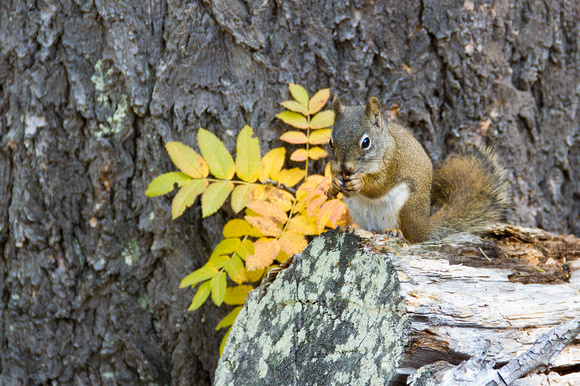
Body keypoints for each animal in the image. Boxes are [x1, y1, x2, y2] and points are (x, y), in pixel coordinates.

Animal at [328, 95, 510, 244]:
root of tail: (424, 227)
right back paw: (353, 228)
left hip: (406, 208)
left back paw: (396, 232)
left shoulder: (393, 164)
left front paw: (359, 182)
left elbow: (379, 187)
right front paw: (334, 183)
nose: (345, 167)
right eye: (331, 141)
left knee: (411, 237)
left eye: (366, 142)